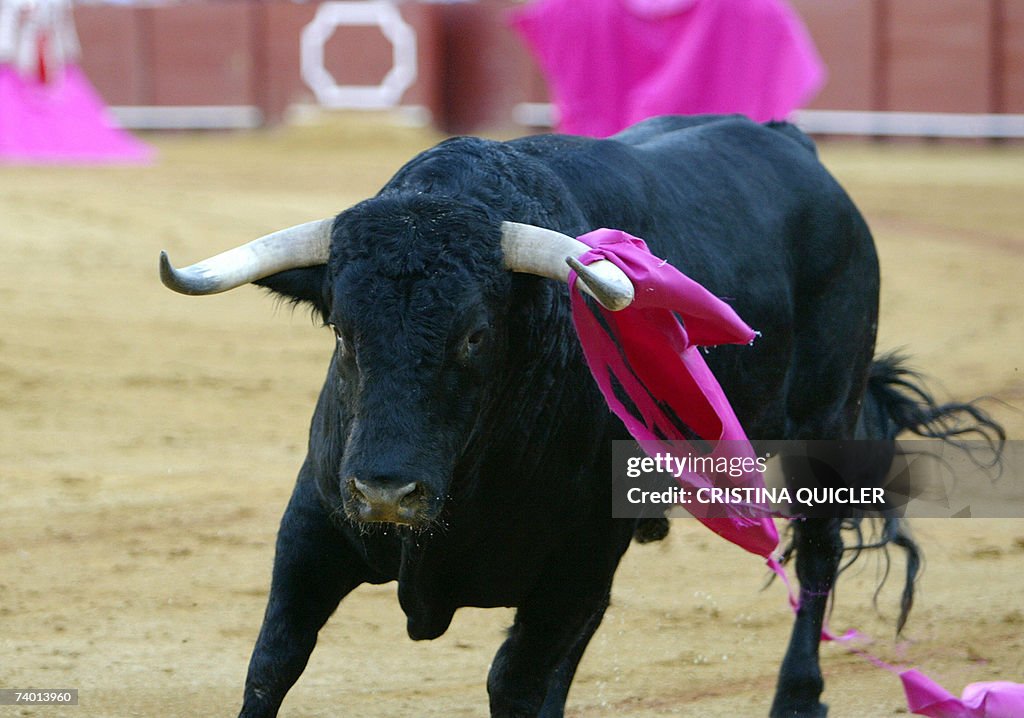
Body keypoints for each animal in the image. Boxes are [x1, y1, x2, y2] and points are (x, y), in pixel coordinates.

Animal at [157, 114, 999, 712]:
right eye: (342, 330)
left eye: (475, 336)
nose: (387, 493)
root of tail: (792, 143)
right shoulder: (315, 522)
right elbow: (273, 662)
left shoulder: (579, 562)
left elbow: (517, 683)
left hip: (824, 423)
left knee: (819, 554)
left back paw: (798, 698)